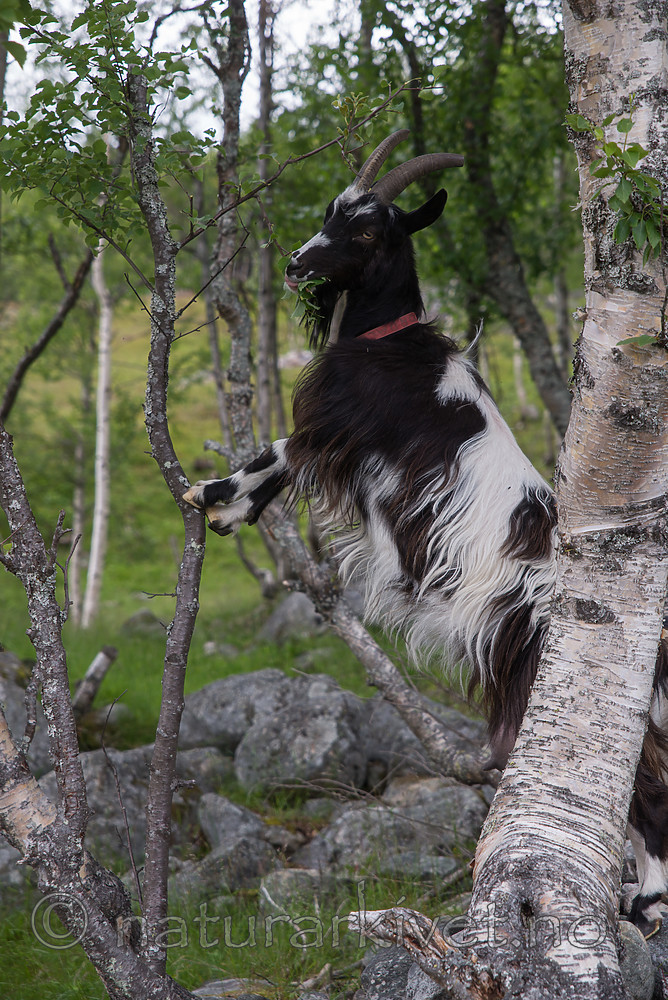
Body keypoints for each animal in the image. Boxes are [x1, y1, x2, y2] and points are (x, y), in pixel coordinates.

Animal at [184, 130, 668, 938]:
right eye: (331, 211)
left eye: (369, 230)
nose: (296, 264)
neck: (390, 344)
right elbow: (282, 455)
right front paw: (225, 506)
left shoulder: (339, 435)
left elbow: (279, 450)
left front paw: (216, 499)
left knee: (646, 783)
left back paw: (648, 901)